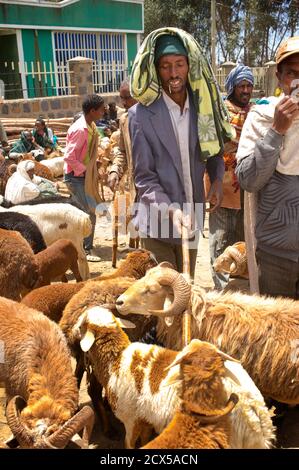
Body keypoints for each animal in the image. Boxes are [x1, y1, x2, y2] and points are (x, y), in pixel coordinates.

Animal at [72, 306, 276, 450]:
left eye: (81, 324)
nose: (71, 331)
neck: (115, 360)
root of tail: (253, 407)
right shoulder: (146, 418)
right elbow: (144, 439)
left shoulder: (130, 419)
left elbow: (129, 443)